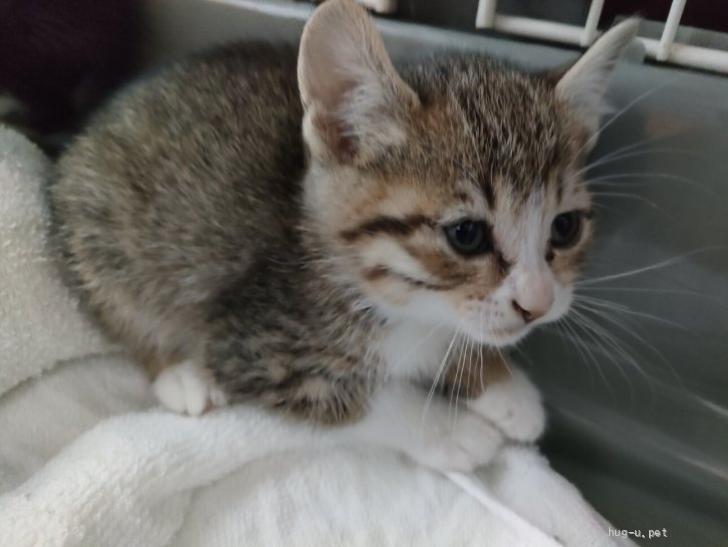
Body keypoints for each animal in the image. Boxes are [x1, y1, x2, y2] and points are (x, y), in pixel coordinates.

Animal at [49, 0, 637, 471]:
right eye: (466, 235)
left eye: (565, 227)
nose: (538, 305)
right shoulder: (259, 348)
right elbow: (363, 400)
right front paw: (453, 430)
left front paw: (503, 388)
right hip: (105, 246)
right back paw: (182, 376)